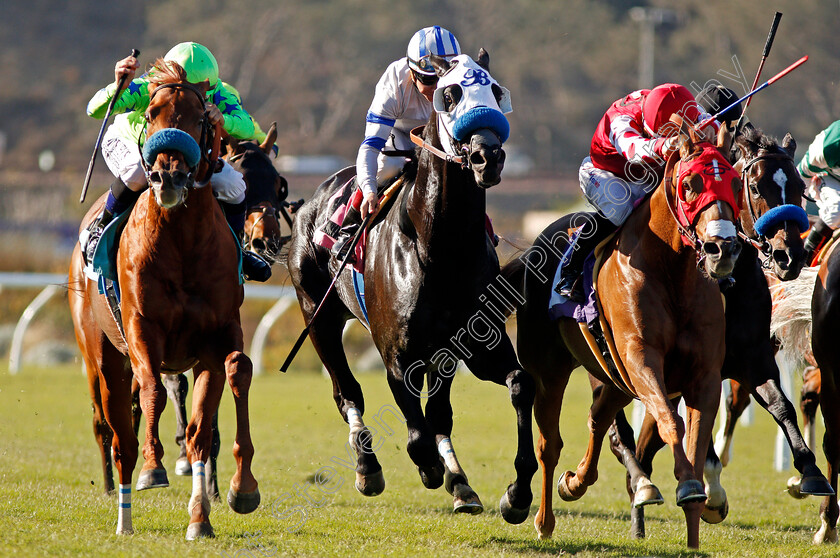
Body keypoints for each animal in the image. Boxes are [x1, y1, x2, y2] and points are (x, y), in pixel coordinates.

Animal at [67, 60, 258, 540]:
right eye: (151, 113)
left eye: (202, 118)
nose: (168, 175)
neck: (183, 242)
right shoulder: (141, 327)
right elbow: (152, 388)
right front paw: (155, 467)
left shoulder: (215, 337)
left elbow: (208, 418)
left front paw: (216, 507)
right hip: (102, 356)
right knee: (119, 435)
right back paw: (124, 518)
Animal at [288, 49, 536, 524]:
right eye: (451, 94)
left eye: (496, 91)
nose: (488, 156)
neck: (440, 250)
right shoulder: (397, 358)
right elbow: (416, 434)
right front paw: (429, 469)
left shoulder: (474, 347)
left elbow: (518, 384)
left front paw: (515, 493)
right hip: (318, 315)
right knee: (347, 392)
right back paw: (368, 468)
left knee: (436, 413)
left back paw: (459, 482)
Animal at [498, 123, 740, 552]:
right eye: (690, 184)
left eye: (733, 183)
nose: (722, 249)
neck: (672, 273)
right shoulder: (642, 359)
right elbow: (671, 423)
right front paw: (687, 486)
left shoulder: (705, 376)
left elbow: (696, 443)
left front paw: (695, 528)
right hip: (551, 371)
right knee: (549, 445)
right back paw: (542, 518)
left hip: (613, 377)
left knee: (597, 419)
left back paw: (577, 482)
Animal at [604, 128, 832, 544]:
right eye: (755, 186)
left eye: (798, 187)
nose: (789, 256)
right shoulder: (698, 370)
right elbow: (699, 432)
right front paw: (712, 494)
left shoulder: (753, 357)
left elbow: (782, 406)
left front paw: (809, 472)